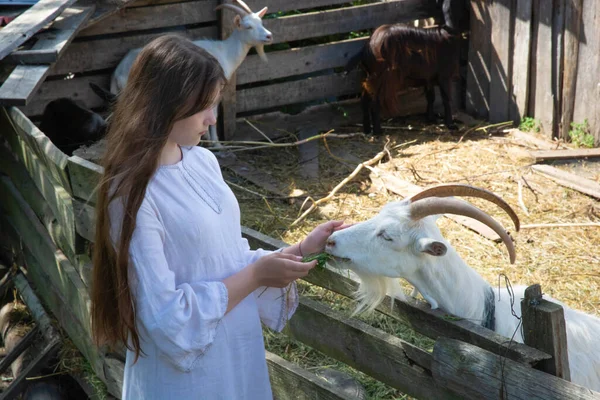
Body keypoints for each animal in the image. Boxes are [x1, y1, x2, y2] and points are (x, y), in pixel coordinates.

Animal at [109, 0, 274, 144]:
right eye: (248, 26)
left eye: (261, 23)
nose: (269, 36)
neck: (226, 52)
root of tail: (118, 72)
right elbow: (214, 114)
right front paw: (216, 143)